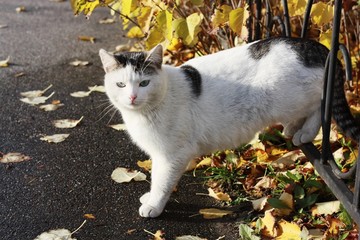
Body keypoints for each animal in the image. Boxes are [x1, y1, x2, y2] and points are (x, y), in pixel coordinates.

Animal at [97, 37, 358, 218]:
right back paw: (293, 128)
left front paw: (154, 205)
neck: (144, 114)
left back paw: (304, 132)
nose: (132, 97)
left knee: (320, 105)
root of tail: (314, 45)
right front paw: (150, 198)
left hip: (288, 99)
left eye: (144, 83)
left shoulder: (172, 155)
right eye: (120, 85)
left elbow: (161, 181)